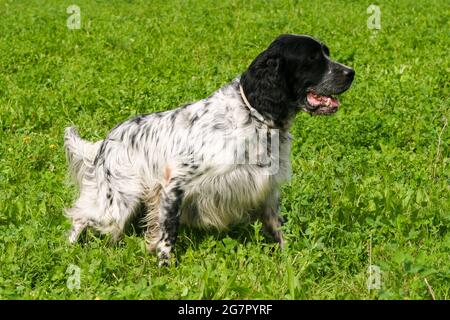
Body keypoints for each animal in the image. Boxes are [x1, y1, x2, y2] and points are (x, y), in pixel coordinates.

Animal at [64, 33, 356, 266]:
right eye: (313, 59)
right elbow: (168, 233)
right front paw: (164, 265)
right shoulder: (175, 183)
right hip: (117, 204)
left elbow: (277, 228)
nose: (351, 72)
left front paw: (288, 257)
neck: (253, 114)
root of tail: (105, 142)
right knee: (80, 215)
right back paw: (68, 248)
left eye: (327, 53)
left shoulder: (266, 189)